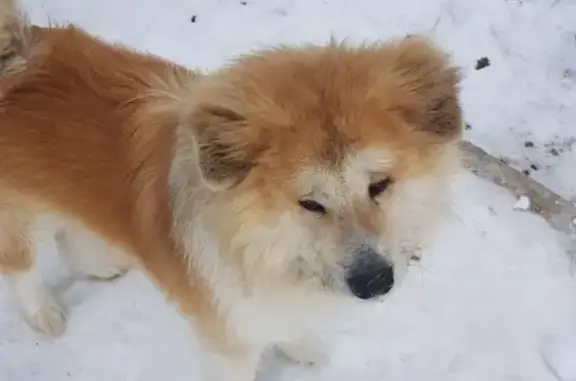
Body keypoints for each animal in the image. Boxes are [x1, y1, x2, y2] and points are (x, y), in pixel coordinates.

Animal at [0, 1, 462, 378]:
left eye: (380, 184)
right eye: (309, 203)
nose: (374, 282)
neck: (264, 248)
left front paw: (301, 346)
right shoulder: (229, 342)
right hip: (16, 220)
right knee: (22, 266)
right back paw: (43, 312)